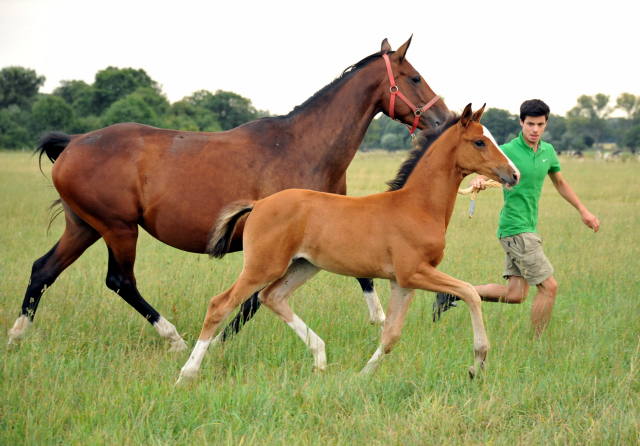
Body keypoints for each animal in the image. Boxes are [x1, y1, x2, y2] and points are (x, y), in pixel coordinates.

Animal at [176, 104, 520, 384]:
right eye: (479, 141)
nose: (513, 174)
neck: (417, 206)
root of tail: (258, 204)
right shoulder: (414, 272)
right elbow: (470, 292)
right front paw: (478, 362)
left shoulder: (402, 282)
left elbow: (390, 335)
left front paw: (362, 376)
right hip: (263, 266)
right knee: (221, 305)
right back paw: (187, 374)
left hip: (303, 266)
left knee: (271, 297)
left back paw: (320, 358)